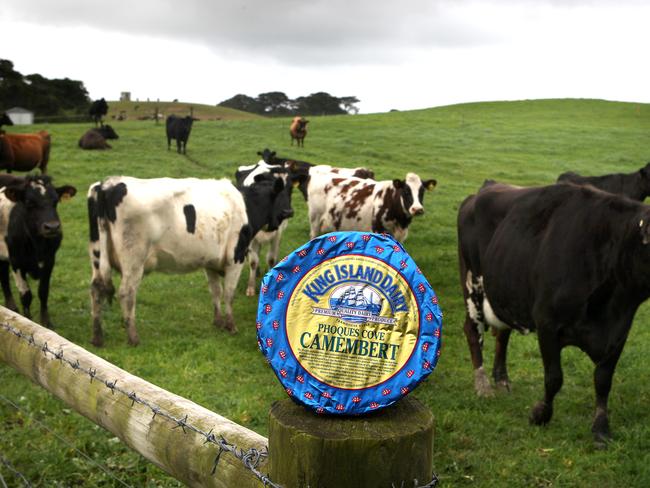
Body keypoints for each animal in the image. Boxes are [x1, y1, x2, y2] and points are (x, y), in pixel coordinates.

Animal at [0, 174, 76, 328]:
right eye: (29, 202)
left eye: (55, 201)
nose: (52, 227)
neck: (37, 245)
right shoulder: (16, 262)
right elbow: (26, 294)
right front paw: (27, 320)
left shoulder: (49, 260)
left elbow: (43, 291)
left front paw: (46, 322)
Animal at [456, 181, 650, 444]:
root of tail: (484, 188)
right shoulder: (547, 323)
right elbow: (554, 377)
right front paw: (540, 414)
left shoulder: (619, 331)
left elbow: (603, 380)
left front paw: (601, 427)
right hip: (472, 283)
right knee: (472, 330)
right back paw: (482, 384)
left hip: (503, 292)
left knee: (502, 334)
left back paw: (502, 379)